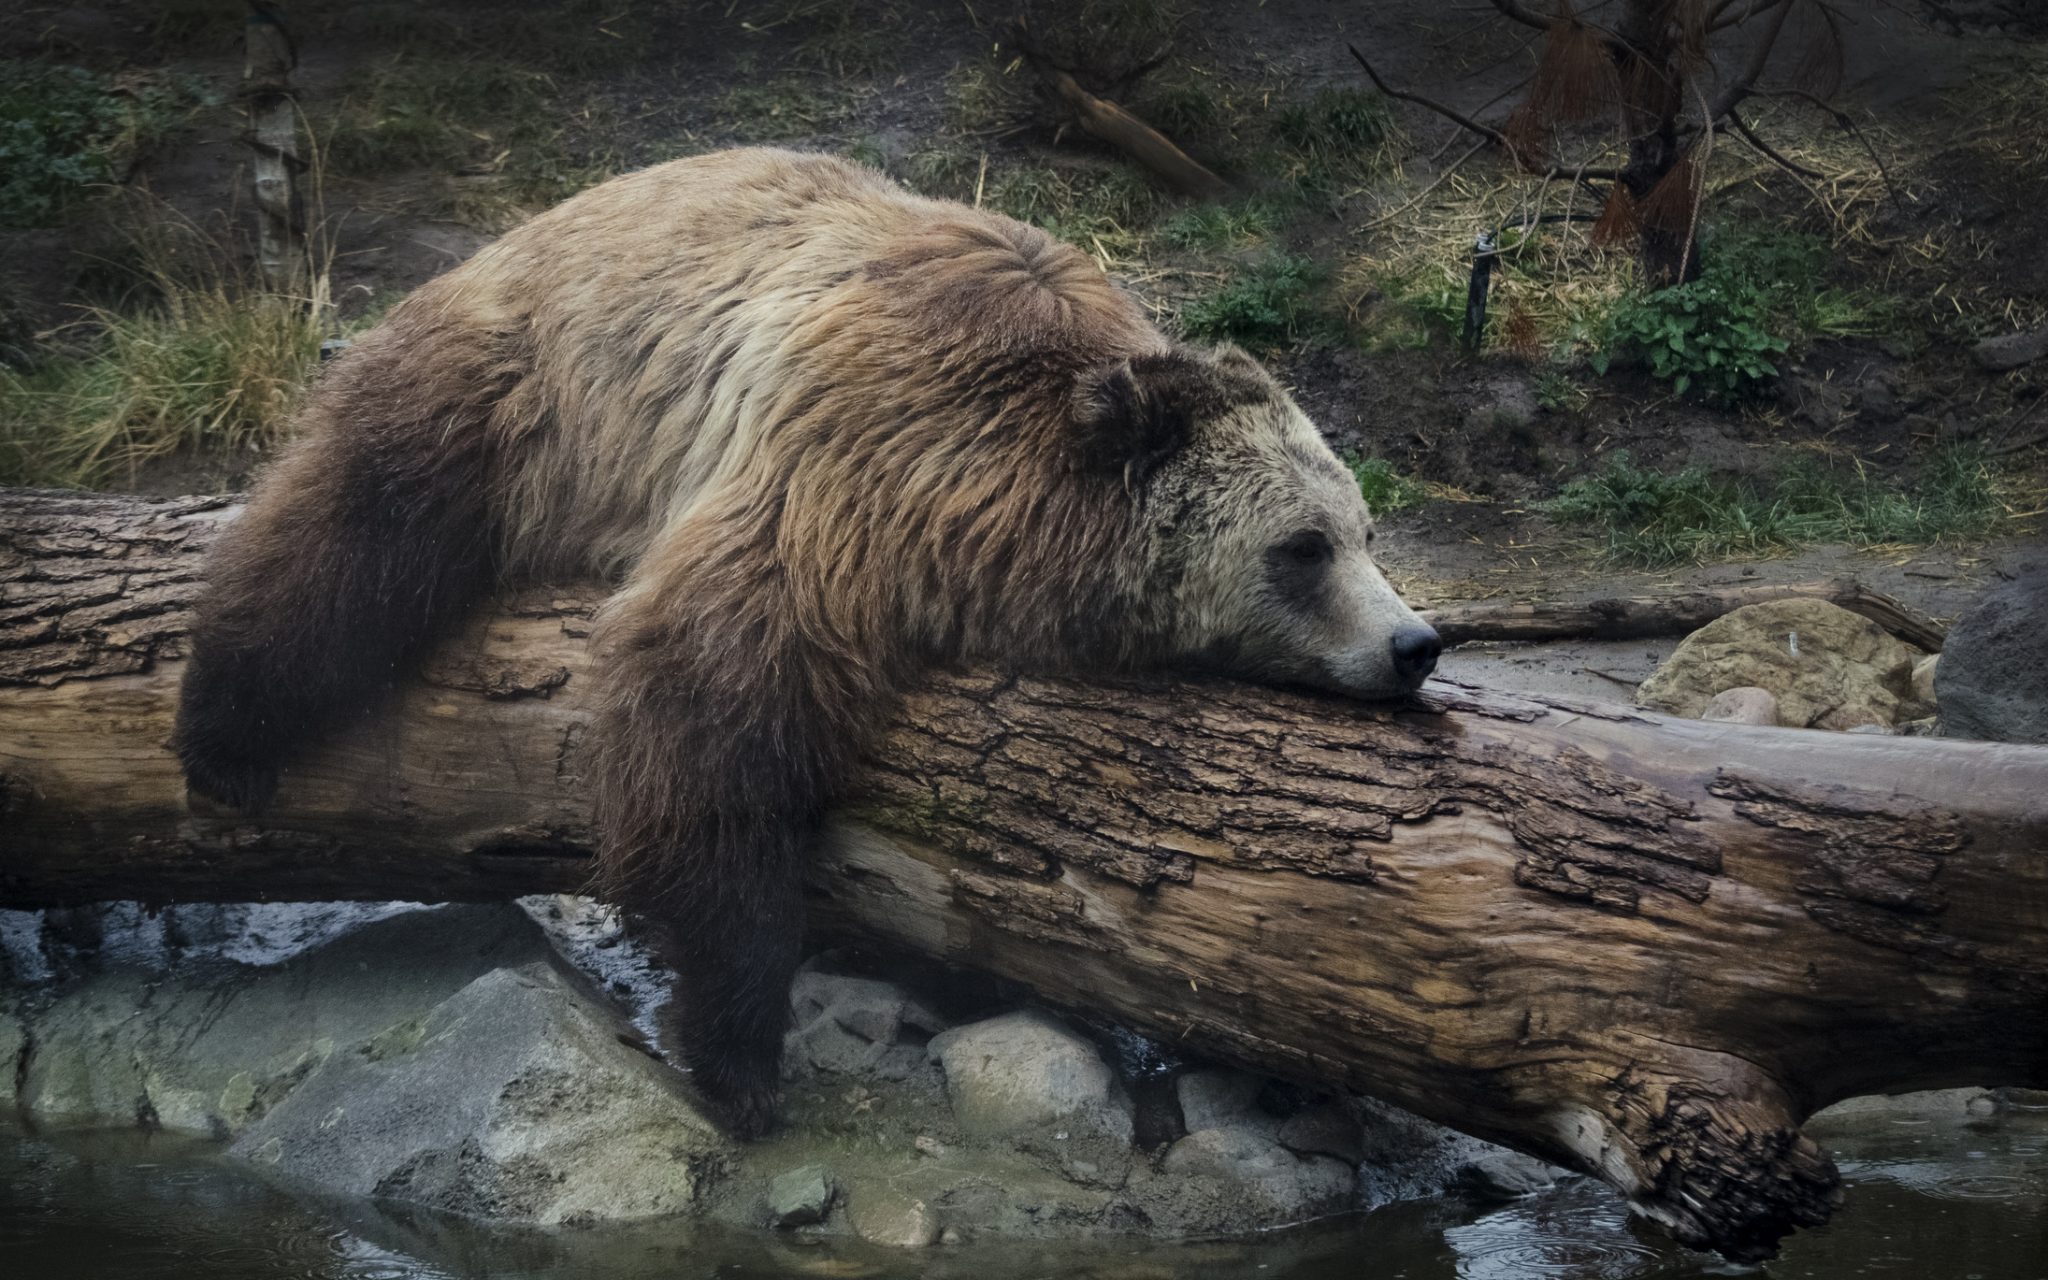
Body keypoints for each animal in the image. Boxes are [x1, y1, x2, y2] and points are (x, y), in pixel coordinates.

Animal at [180, 144, 1441, 1130]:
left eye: (1367, 530)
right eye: (1302, 546)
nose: (1415, 643)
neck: (1006, 504)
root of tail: (554, 209)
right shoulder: (852, 464)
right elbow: (709, 702)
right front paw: (739, 1049)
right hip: (531, 384)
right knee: (362, 516)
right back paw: (224, 728)